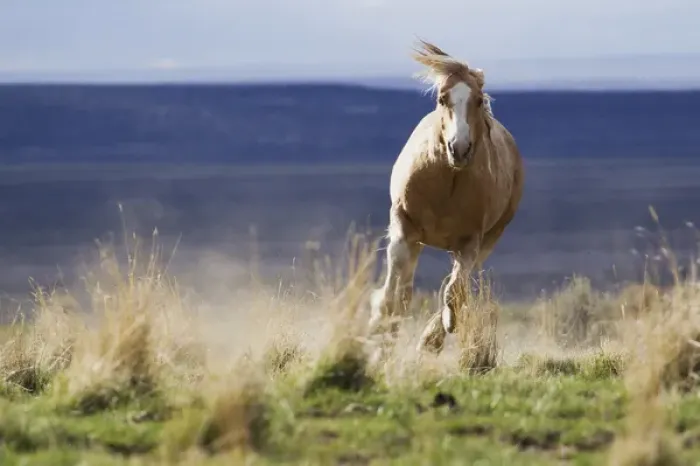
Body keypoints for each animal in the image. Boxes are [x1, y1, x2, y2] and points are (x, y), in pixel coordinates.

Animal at [369, 39, 524, 354]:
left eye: (478, 100)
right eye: (442, 99)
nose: (459, 149)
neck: (447, 185)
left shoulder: (470, 243)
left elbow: (454, 293)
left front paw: (435, 336)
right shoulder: (404, 228)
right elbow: (393, 298)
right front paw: (380, 343)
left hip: (488, 240)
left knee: (455, 289)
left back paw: (432, 338)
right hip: (417, 241)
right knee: (403, 294)